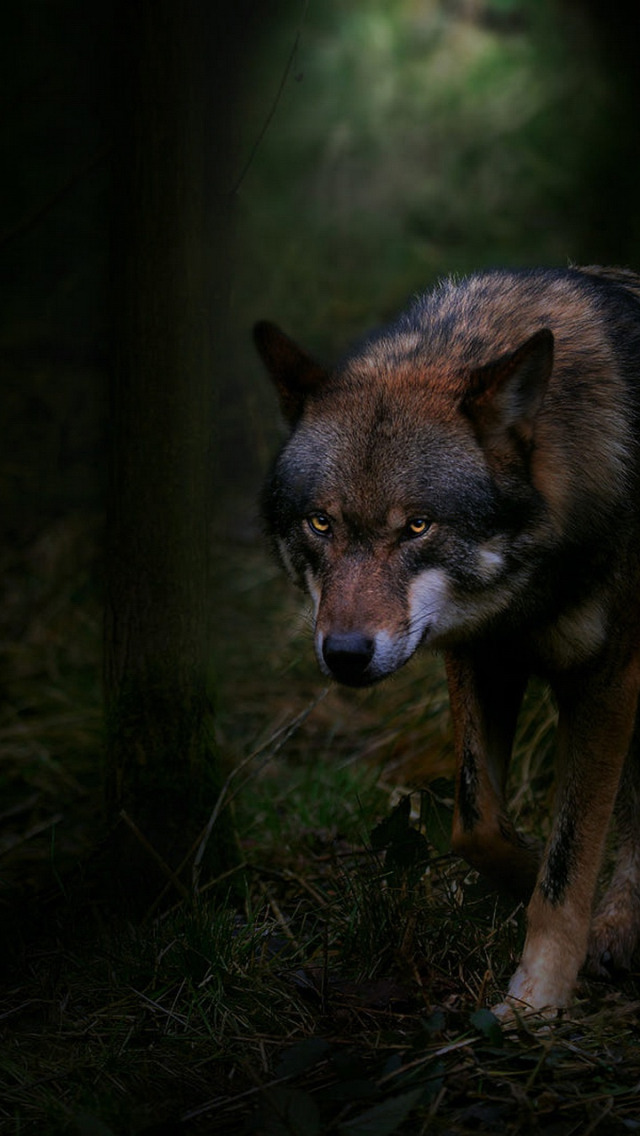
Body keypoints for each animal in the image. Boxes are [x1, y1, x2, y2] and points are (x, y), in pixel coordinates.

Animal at [255, 268, 640, 1022]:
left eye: (418, 526)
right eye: (320, 523)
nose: (345, 654)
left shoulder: (609, 678)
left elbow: (572, 858)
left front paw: (537, 1001)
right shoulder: (479, 654)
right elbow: (476, 822)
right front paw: (525, 872)